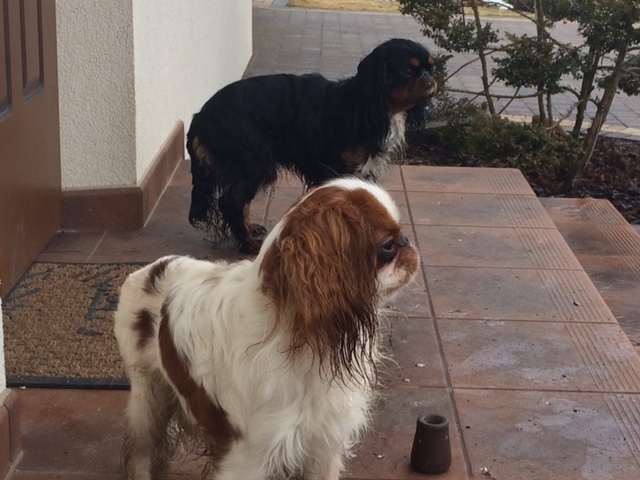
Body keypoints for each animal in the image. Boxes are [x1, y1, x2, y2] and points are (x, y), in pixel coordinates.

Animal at [115, 178, 420, 480]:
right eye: (387, 246)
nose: (407, 241)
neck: (303, 338)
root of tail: (149, 269)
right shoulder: (248, 458)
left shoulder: (323, 443)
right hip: (148, 400)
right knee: (140, 452)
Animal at [187, 38, 437, 253]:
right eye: (407, 71)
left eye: (430, 68)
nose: (428, 75)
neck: (362, 106)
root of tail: (201, 115)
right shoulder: (334, 170)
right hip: (254, 163)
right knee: (231, 203)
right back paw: (247, 243)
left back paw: (250, 230)